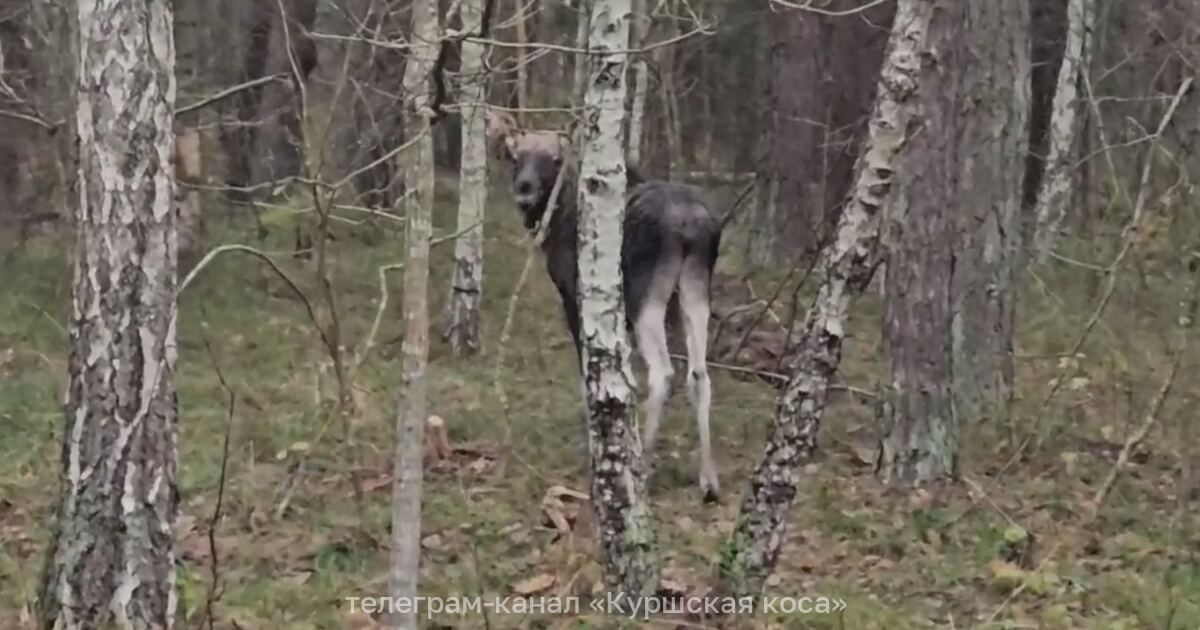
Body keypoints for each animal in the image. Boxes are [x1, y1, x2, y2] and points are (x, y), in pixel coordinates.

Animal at [486, 110, 723, 501]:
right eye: (516, 156)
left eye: (555, 160)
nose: (524, 190)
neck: (556, 226)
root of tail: (694, 226)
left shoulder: (573, 293)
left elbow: (589, 374)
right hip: (695, 287)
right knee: (699, 373)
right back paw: (708, 479)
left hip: (644, 292)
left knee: (663, 373)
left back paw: (643, 467)